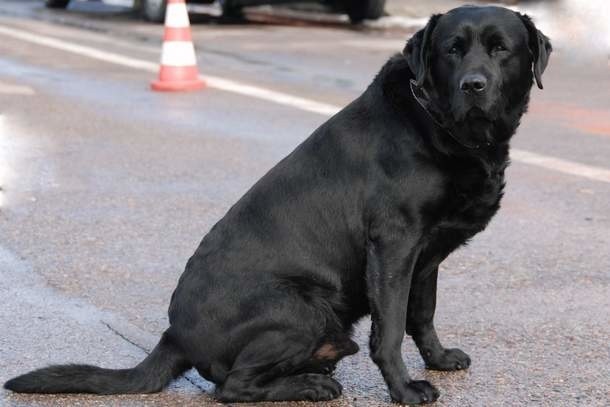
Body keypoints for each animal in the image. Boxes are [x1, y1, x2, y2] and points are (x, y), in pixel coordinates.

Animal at [7, 4, 552, 406]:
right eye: (451, 51)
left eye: (501, 49)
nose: (473, 85)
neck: (439, 124)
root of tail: (174, 335)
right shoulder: (394, 246)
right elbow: (391, 329)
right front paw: (404, 389)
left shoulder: (426, 255)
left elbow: (422, 314)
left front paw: (438, 359)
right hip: (300, 307)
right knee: (230, 387)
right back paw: (312, 385)